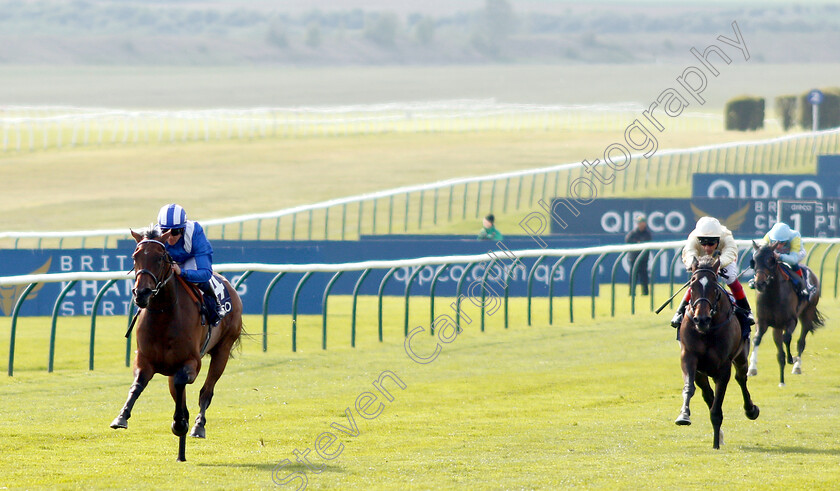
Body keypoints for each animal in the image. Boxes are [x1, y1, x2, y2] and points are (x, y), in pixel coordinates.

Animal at [110, 229, 243, 464]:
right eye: (135, 256)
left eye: (160, 258)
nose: (142, 293)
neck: (164, 316)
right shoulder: (144, 359)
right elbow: (138, 385)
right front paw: (121, 417)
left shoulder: (191, 362)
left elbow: (184, 384)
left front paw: (181, 423)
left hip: (223, 350)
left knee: (206, 391)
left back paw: (197, 426)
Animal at [676, 256, 760, 452]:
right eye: (692, 285)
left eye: (714, 287)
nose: (701, 319)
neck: (707, 330)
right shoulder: (689, 358)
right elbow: (690, 388)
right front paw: (684, 415)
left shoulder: (723, 367)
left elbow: (717, 405)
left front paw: (715, 443)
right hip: (703, 372)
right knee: (707, 394)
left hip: (741, 357)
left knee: (741, 379)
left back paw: (750, 410)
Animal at [744, 242, 824, 388]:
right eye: (754, 261)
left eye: (771, 260)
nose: (759, 283)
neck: (773, 294)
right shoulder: (762, 321)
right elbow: (757, 339)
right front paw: (752, 369)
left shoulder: (791, 321)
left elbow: (787, 338)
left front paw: (791, 359)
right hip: (777, 326)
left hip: (807, 314)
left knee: (801, 341)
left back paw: (797, 366)